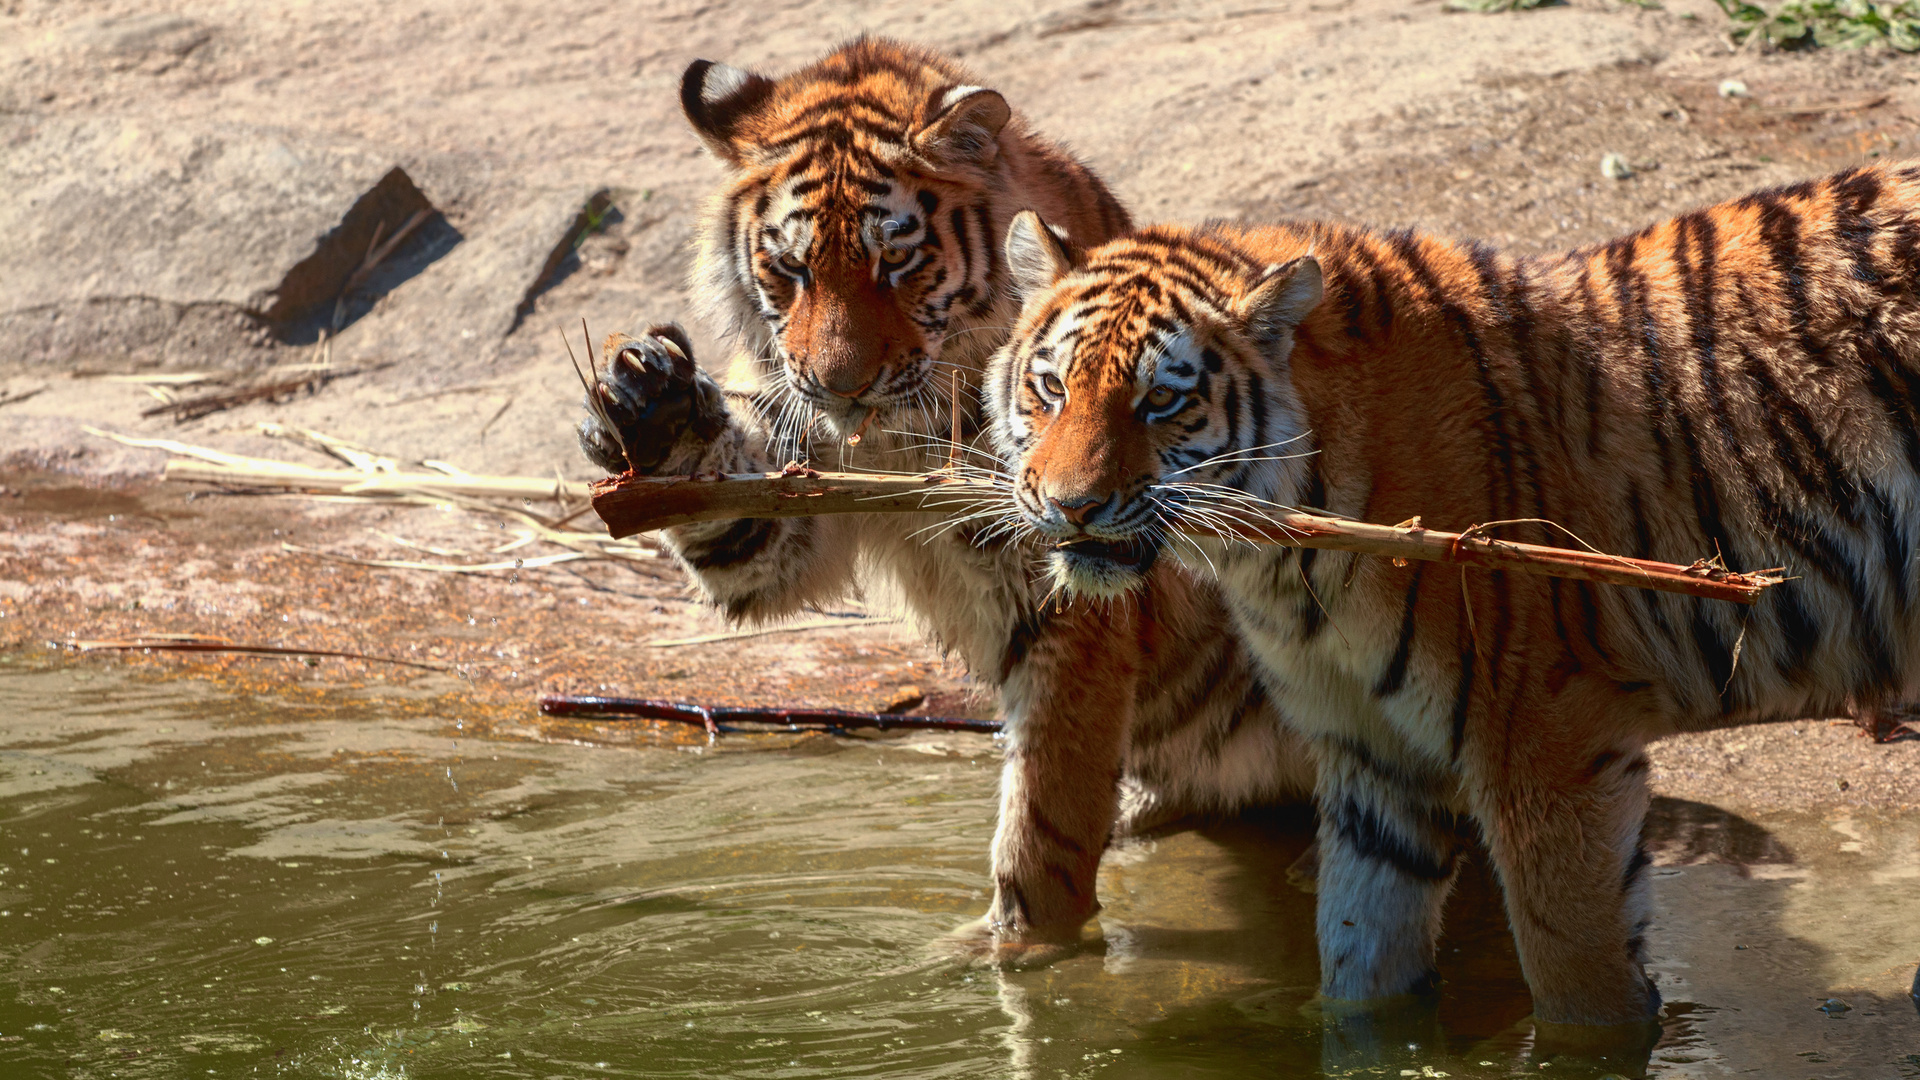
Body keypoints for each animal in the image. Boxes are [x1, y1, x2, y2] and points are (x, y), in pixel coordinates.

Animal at [572, 37, 1320, 953]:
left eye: (896, 261)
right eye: (790, 268)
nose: (838, 387)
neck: (895, 437)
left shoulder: (1075, 592)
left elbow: (1046, 809)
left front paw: (1026, 956)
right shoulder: (791, 499)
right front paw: (648, 401)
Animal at [983, 161, 1920, 1022]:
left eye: (1160, 401)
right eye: (1052, 387)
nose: (1067, 504)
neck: (1277, 562)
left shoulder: (1547, 742)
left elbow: (1578, 989)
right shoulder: (1371, 755)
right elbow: (1359, 969)